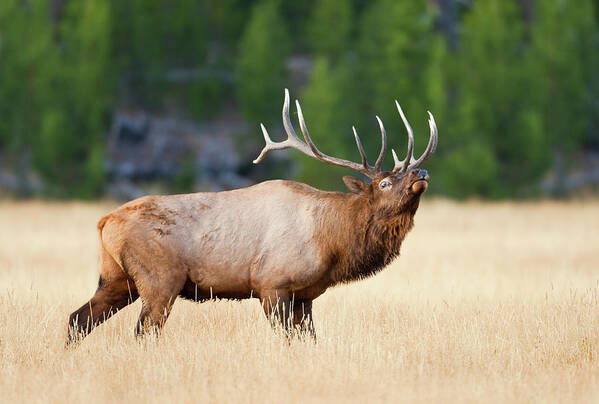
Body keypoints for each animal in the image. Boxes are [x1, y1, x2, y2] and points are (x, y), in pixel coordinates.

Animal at [67, 89, 440, 344]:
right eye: (385, 182)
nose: (421, 172)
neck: (332, 242)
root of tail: (105, 222)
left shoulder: (305, 296)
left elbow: (309, 340)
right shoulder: (272, 284)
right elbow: (286, 339)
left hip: (117, 278)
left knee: (77, 319)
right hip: (159, 279)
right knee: (143, 331)